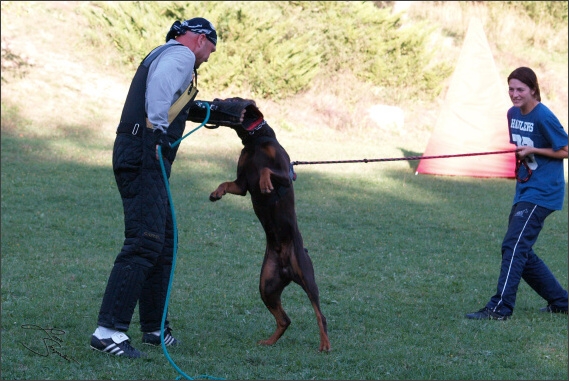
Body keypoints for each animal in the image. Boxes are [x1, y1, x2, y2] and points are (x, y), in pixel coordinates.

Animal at [206, 98, 330, 350]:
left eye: (231, 99)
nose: (213, 101)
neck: (255, 141)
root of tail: (287, 269)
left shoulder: (284, 173)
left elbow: (266, 169)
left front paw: (265, 183)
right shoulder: (242, 184)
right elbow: (227, 183)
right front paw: (216, 193)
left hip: (306, 276)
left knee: (320, 315)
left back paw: (325, 344)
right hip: (267, 286)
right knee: (285, 319)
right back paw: (269, 341)